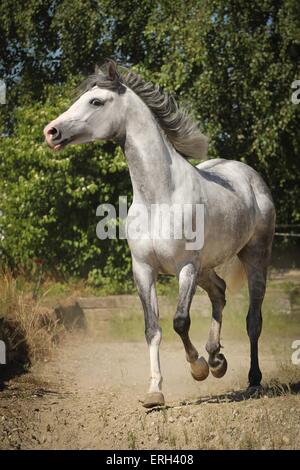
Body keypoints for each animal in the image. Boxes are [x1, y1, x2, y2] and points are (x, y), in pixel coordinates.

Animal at [44, 61, 276, 408]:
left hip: (254, 257)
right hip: (207, 267)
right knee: (219, 293)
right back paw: (217, 360)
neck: (159, 197)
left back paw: (252, 380)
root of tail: (248, 175)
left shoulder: (186, 268)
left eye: (96, 101)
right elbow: (152, 329)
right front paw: (155, 392)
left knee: (253, 320)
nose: (51, 132)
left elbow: (180, 321)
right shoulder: (143, 269)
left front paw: (197, 369)